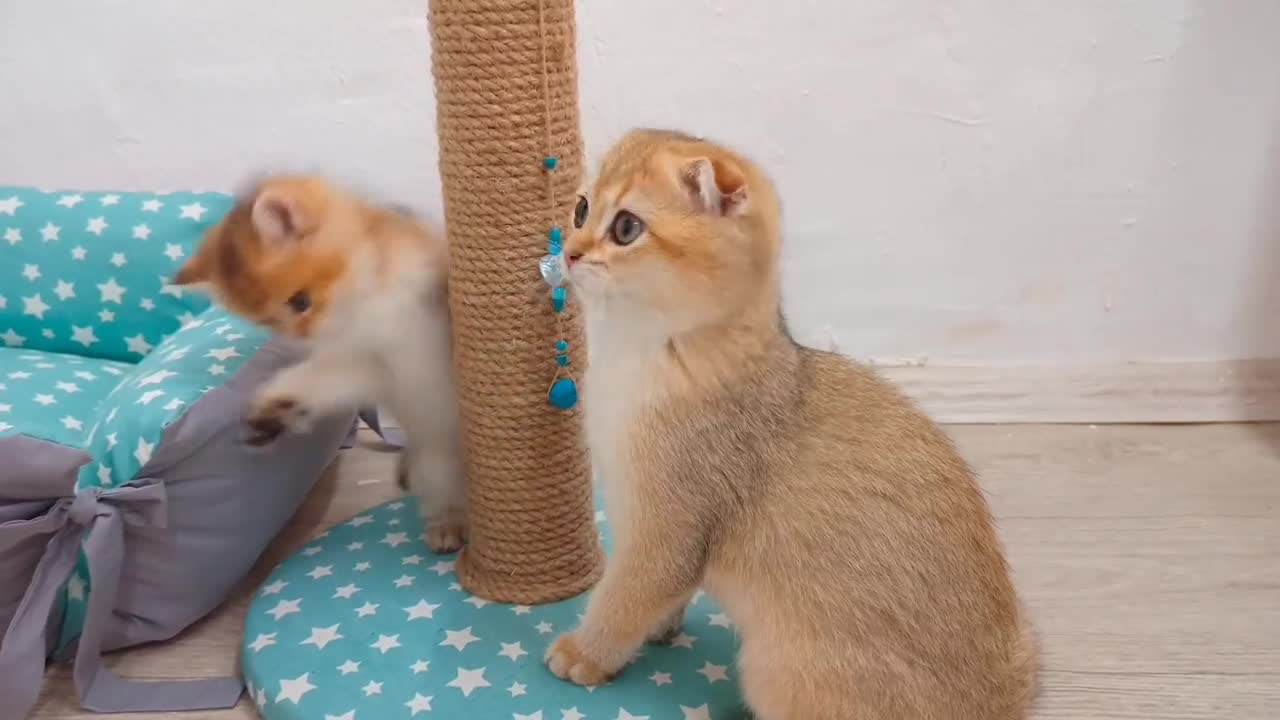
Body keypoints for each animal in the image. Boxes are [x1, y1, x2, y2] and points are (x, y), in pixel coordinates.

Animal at [172, 176, 468, 550]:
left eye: (300, 301)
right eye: (271, 322)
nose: (303, 337)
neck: (372, 305)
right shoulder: (373, 367)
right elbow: (319, 379)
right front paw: (276, 406)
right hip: (436, 463)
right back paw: (447, 525)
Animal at [542, 130, 1039, 717]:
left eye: (625, 228)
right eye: (580, 208)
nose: (570, 251)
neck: (639, 354)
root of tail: (999, 704)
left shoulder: (665, 532)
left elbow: (623, 599)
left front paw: (585, 653)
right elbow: (667, 595)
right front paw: (663, 628)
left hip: (775, 671)